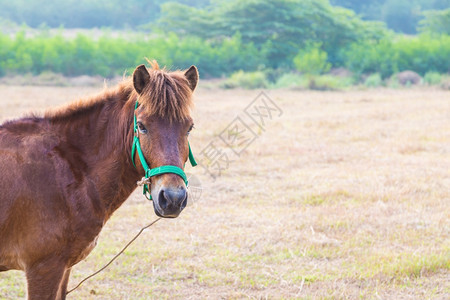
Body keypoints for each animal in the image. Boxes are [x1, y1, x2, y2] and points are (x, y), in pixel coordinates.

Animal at [0, 62, 199, 298]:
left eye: (189, 128)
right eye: (142, 126)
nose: (173, 198)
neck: (64, 170)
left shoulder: (64, 268)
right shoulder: (43, 268)